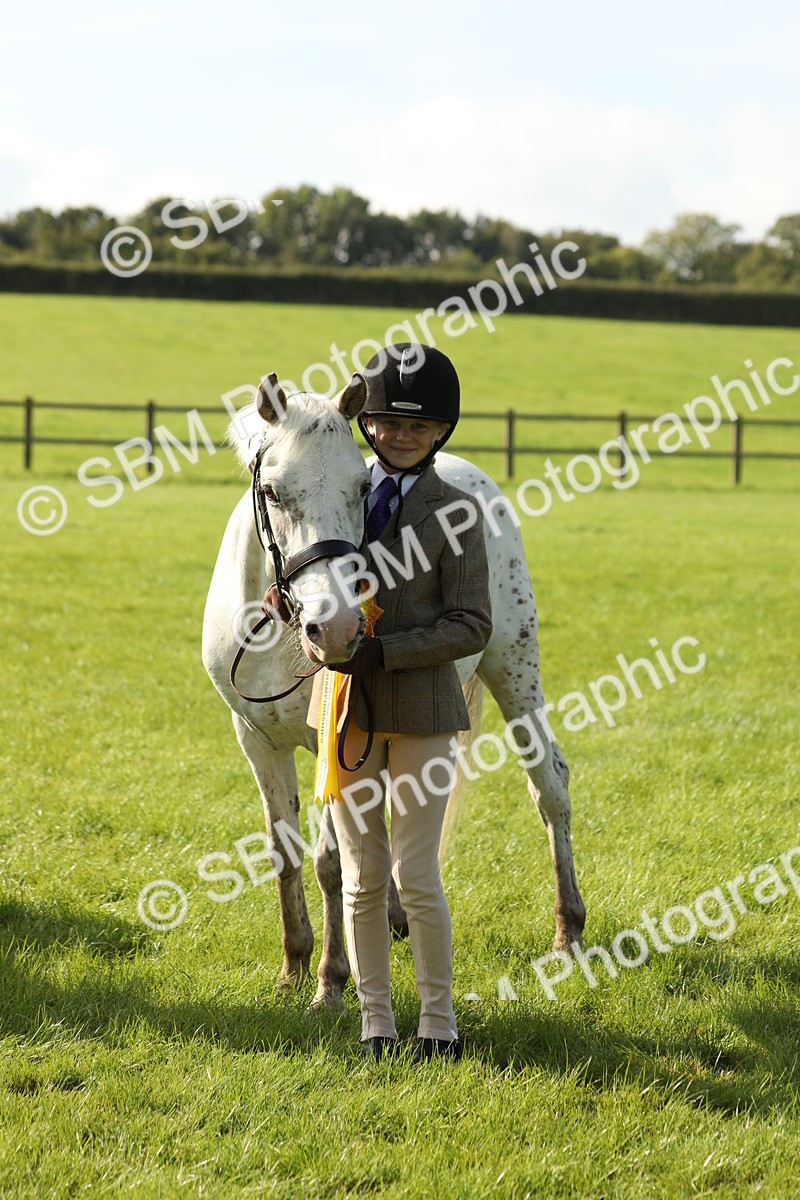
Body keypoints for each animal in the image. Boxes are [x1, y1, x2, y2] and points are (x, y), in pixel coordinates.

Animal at [201, 372, 585, 1008]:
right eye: (274, 492)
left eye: (362, 487)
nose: (334, 628)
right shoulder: (256, 740)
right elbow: (286, 852)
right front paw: (294, 966)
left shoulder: (328, 745)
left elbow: (332, 862)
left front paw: (332, 981)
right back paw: (396, 917)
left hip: (514, 669)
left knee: (550, 785)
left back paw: (569, 931)